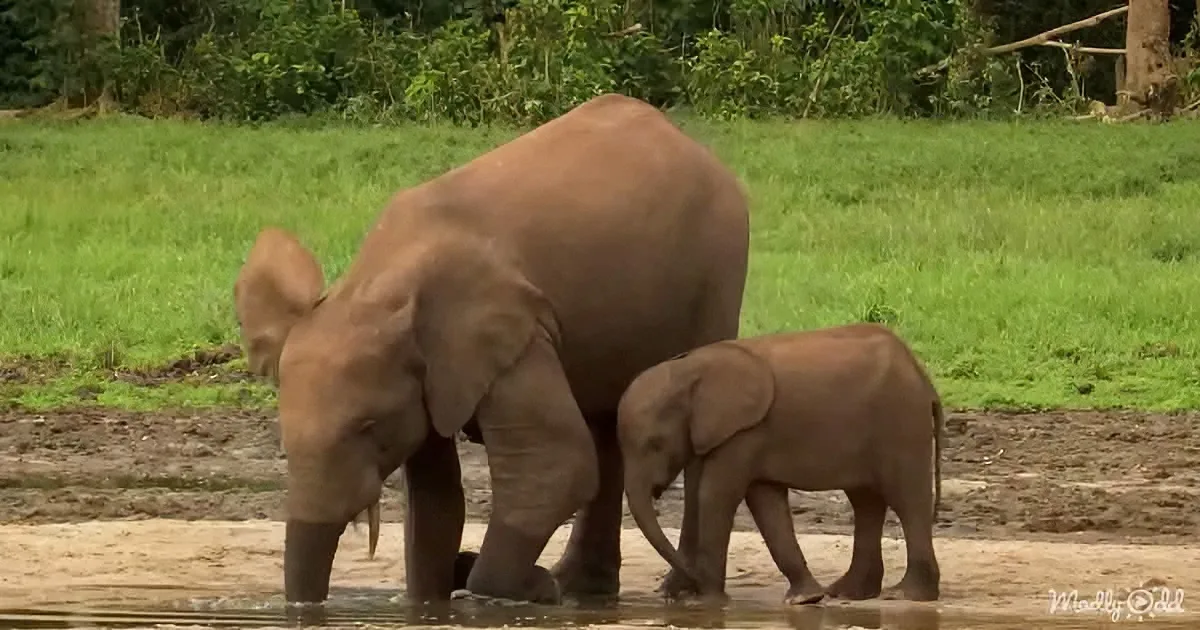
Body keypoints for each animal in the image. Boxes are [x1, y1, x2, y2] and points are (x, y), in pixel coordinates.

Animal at [231, 93, 751, 606]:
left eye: (368, 426)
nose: (303, 610)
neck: (375, 284)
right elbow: (436, 498)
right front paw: (431, 602)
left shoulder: (512, 335)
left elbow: (556, 464)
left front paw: (519, 586)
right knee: (607, 426)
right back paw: (581, 589)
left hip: (719, 271)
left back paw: (676, 591)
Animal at [617, 323, 944, 605]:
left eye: (655, 444)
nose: (682, 587)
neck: (689, 369)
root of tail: (923, 377)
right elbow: (764, 502)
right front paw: (806, 599)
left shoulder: (745, 432)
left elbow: (716, 495)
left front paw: (706, 601)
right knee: (866, 503)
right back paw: (847, 593)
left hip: (901, 420)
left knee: (907, 500)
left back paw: (907, 595)